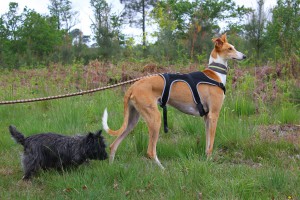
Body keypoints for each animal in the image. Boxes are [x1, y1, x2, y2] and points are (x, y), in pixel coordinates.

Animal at [102, 33, 246, 168]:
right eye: (230, 48)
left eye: (233, 47)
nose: (244, 56)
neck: (215, 75)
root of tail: (133, 86)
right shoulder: (214, 115)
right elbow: (211, 145)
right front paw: (210, 163)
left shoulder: (206, 117)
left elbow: (207, 144)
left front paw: (207, 160)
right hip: (155, 119)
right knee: (150, 151)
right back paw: (163, 170)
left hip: (132, 121)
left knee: (113, 145)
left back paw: (111, 167)